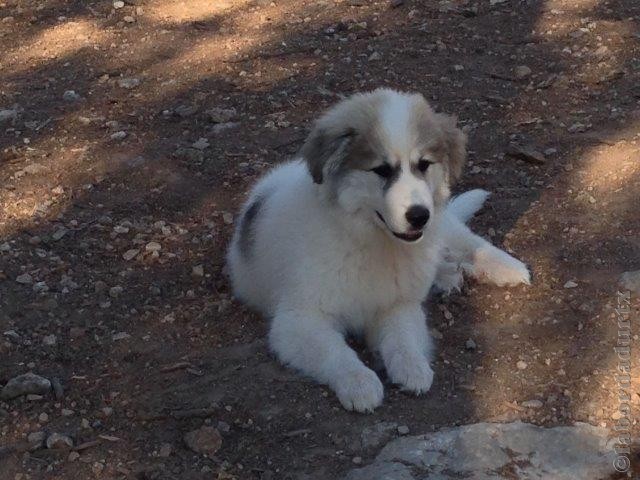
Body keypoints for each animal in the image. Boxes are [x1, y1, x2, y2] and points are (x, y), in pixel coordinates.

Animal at [228, 90, 528, 412]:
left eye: (424, 164)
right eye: (381, 170)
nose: (419, 216)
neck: (370, 239)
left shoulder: (397, 304)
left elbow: (402, 338)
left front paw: (413, 368)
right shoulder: (299, 319)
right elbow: (335, 351)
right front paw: (359, 382)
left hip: (442, 222)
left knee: (466, 240)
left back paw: (508, 268)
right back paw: (448, 275)